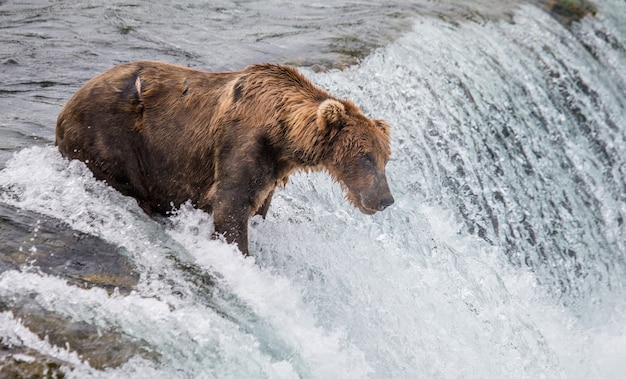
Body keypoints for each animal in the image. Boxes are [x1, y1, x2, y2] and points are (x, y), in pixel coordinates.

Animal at [56, 60, 392, 256]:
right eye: (365, 157)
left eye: (384, 158)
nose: (386, 199)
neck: (283, 136)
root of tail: (66, 106)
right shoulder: (242, 143)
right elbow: (231, 206)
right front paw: (240, 252)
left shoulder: (272, 170)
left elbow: (257, 207)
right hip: (111, 140)